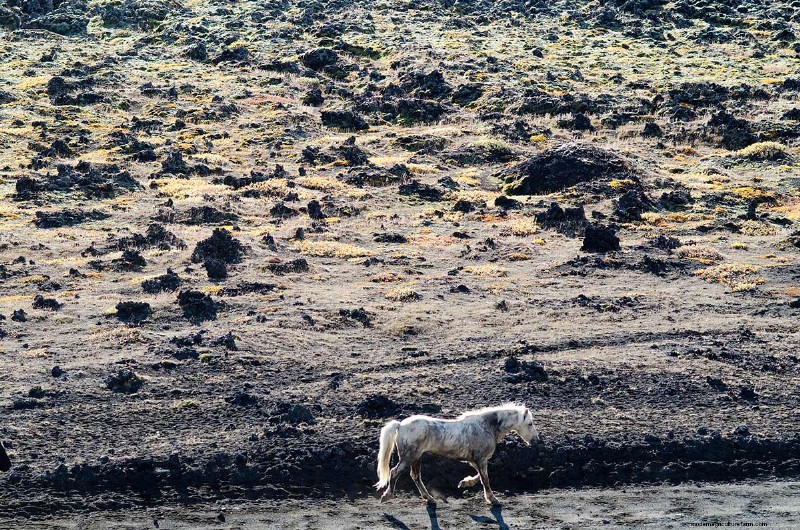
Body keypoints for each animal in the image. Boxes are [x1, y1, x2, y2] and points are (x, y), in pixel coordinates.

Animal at [374, 403, 539, 506]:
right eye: (530, 424)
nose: (536, 440)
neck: (487, 426)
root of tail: (400, 425)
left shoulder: (474, 460)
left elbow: (480, 476)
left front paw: (464, 483)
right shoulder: (481, 459)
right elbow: (485, 479)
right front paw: (493, 499)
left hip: (416, 458)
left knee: (415, 477)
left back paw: (430, 499)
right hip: (408, 457)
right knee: (394, 472)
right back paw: (387, 496)